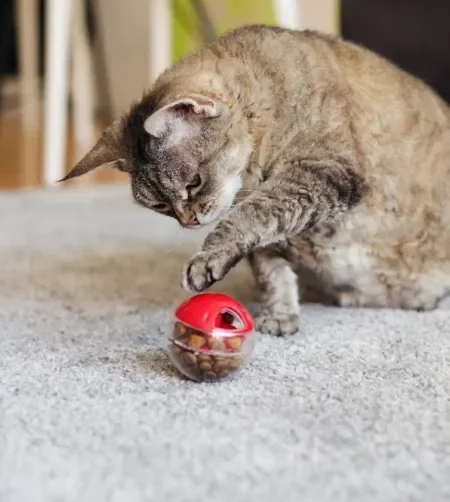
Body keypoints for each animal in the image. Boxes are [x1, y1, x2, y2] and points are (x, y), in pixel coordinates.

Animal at [61, 25, 450, 336]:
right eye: (159, 204)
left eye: (193, 182)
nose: (188, 221)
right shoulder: (274, 232)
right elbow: (271, 271)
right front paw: (280, 316)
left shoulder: (322, 172)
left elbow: (250, 215)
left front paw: (207, 257)